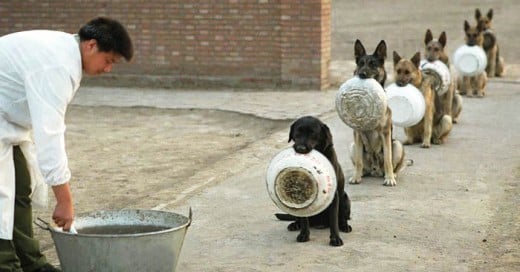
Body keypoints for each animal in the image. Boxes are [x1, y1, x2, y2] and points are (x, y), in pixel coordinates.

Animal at [274, 115, 352, 246]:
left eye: (313, 133)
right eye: (297, 132)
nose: (300, 148)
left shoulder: (333, 196)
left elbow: (333, 221)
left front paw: (335, 238)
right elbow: (304, 220)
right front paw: (304, 235)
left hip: (345, 198)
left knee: (342, 217)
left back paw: (344, 226)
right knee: (299, 218)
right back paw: (295, 225)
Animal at [350, 39, 406, 186]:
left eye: (373, 64)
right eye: (361, 63)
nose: (362, 74)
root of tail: (375, 170)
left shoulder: (385, 133)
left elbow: (388, 159)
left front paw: (389, 178)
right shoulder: (357, 134)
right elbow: (359, 161)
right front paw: (356, 177)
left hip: (397, 144)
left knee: (394, 165)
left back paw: (392, 174)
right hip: (353, 145)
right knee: (361, 164)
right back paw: (361, 173)